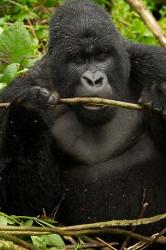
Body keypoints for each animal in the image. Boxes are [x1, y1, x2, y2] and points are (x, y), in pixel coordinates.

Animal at [0, 0, 166, 242]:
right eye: (78, 60)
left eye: (101, 57)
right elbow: (27, 211)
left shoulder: (155, 63)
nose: (94, 80)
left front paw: (163, 96)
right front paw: (28, 119)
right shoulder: (12, 96)